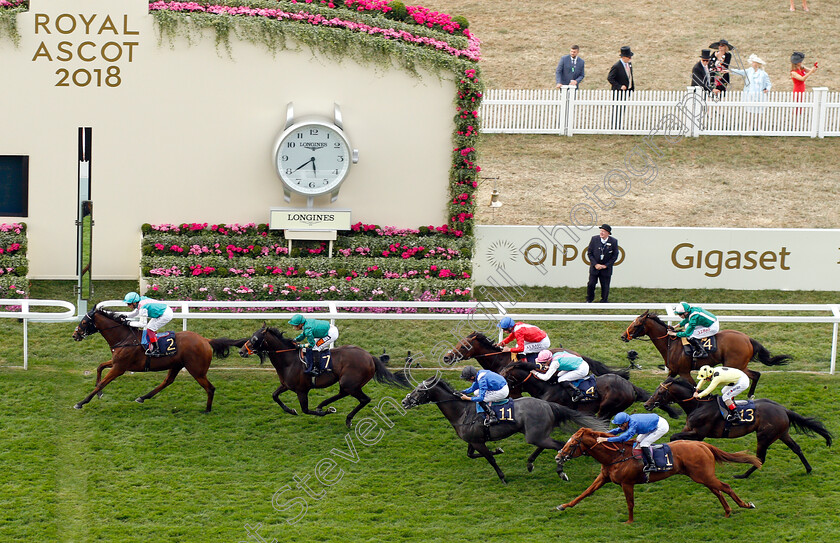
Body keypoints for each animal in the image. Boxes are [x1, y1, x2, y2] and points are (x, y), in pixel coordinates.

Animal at [72, 310, 246, 412]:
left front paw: (81, 402)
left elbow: (102, 382)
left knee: (210, 388)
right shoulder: (116, 363)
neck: (124, 338)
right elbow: (99, 367)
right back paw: (143, 397)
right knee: (167, 381)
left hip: (197, 370)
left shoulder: (119, 368)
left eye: (84, 322)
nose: (75, 335)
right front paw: (99, 394)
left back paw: (207, 410)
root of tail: (205, 340)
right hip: (176, 365)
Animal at [238, 324, 408, 430]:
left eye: (254, 339)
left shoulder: (301, 390)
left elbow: (306, 410)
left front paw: (322, 412)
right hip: (348, 383)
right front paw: (291, 410)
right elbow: (274, 396)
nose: (241, 351)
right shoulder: (286, 385)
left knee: (364, 399)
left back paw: (345, 418)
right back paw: (323, 405)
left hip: (350, 383)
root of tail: (370, 357)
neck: (289, 360)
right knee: (343, 394)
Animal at [400, 378, 604, 484]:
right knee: (547, 445)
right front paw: (498, 449)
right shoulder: (473, 441)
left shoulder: (478, 442)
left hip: (535, 436)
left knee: (559, 445)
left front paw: (503, 477)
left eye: (419, 391)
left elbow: (489, 459)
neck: (462, 412)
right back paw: (530, 463)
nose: (404, 401)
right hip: (536, 435)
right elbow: (471, 455)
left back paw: (561, 471)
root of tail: (548, 405)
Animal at [556, 430, 756, 524]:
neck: (616, 455)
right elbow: (585, 493)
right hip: (702, 476)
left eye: (572, 444)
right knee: (718, 491)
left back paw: (746, 505)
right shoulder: (603, 478)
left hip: (703, 475)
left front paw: (629, 521)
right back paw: (728, 511)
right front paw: (563, 506)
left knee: (725, 487)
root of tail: (702, 445)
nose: (558, 457)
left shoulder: (627, 483)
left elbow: (630, 503)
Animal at [620, 310, 792, 400]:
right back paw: (747, 395)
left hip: (735, 364)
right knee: (756, 374)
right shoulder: (673, 371)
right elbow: (664, 383)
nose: (623, 336)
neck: (671, 344)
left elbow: (693, 386)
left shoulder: (684, 372)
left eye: (636, 324)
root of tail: (748, 339)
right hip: (738, 365)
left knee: (754, 375)